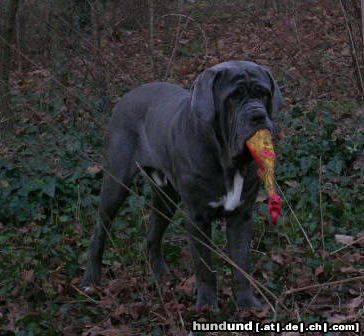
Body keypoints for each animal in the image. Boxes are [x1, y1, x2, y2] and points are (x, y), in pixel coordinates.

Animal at [84, 61, 282, 310]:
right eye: (234, 97)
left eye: (263, 93)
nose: (258, 115)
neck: (227, 160)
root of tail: (127, 96)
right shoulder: (197, 218)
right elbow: (204, 266)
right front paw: (207, 306)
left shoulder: (242, 216)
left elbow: (241, 263)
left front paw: (247, 304)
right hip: (116, 183)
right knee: (101, 228)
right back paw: (91, 279)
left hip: (166, 197)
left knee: (153, 236)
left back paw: (161, 275)